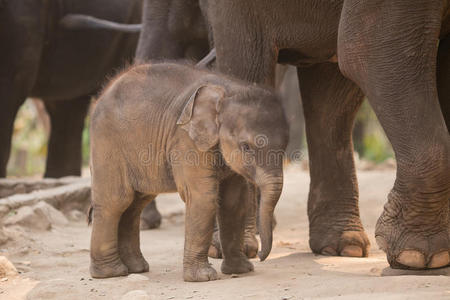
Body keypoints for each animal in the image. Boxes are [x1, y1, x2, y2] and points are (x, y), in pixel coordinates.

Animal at [89, 63, 288, 282]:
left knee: (135, 203)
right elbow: (203, 197)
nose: (260, 256)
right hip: (107, 144)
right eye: (246, 147)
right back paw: (111, 273)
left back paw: (136, 268)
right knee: (117, 200)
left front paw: (241, 270)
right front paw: (204, 278)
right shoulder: (185, 139)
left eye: (285, 147)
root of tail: (103, 93)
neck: (228, 89)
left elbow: (234, 202)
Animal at [201, 0, 450, 270]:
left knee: (331, 95)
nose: (264, 256)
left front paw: (428, 256)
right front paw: (417, 257)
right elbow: (371, 47)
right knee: (245, 64)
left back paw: (343, 247)